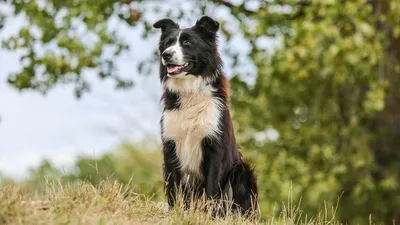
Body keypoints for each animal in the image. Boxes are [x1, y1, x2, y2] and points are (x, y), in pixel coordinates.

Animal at [153, 15, 260, 216]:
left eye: (187, 42)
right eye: (168, 43)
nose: (166, 55)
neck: (190, 90)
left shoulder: (214, 147)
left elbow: (211, 188)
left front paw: (206, 216)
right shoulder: (171, 145)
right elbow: (174, 187)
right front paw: (175, 212)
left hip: (242, 170)